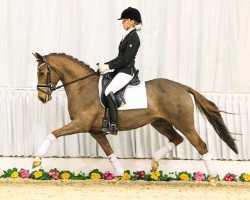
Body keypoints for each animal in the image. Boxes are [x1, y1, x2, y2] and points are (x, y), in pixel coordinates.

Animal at [32, 52, 237, 184]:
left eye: (42, 72)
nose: (42, 98)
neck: (83, 87)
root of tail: (183, 87)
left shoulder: (81, 124)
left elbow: (53, 133)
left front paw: (37, 159)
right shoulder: (95, 130)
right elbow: (109, 151)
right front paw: (119, 174)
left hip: (184, 124)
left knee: (200, 145)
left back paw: (213, 178)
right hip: (159, 122)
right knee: (176, 139)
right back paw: (154, 163)